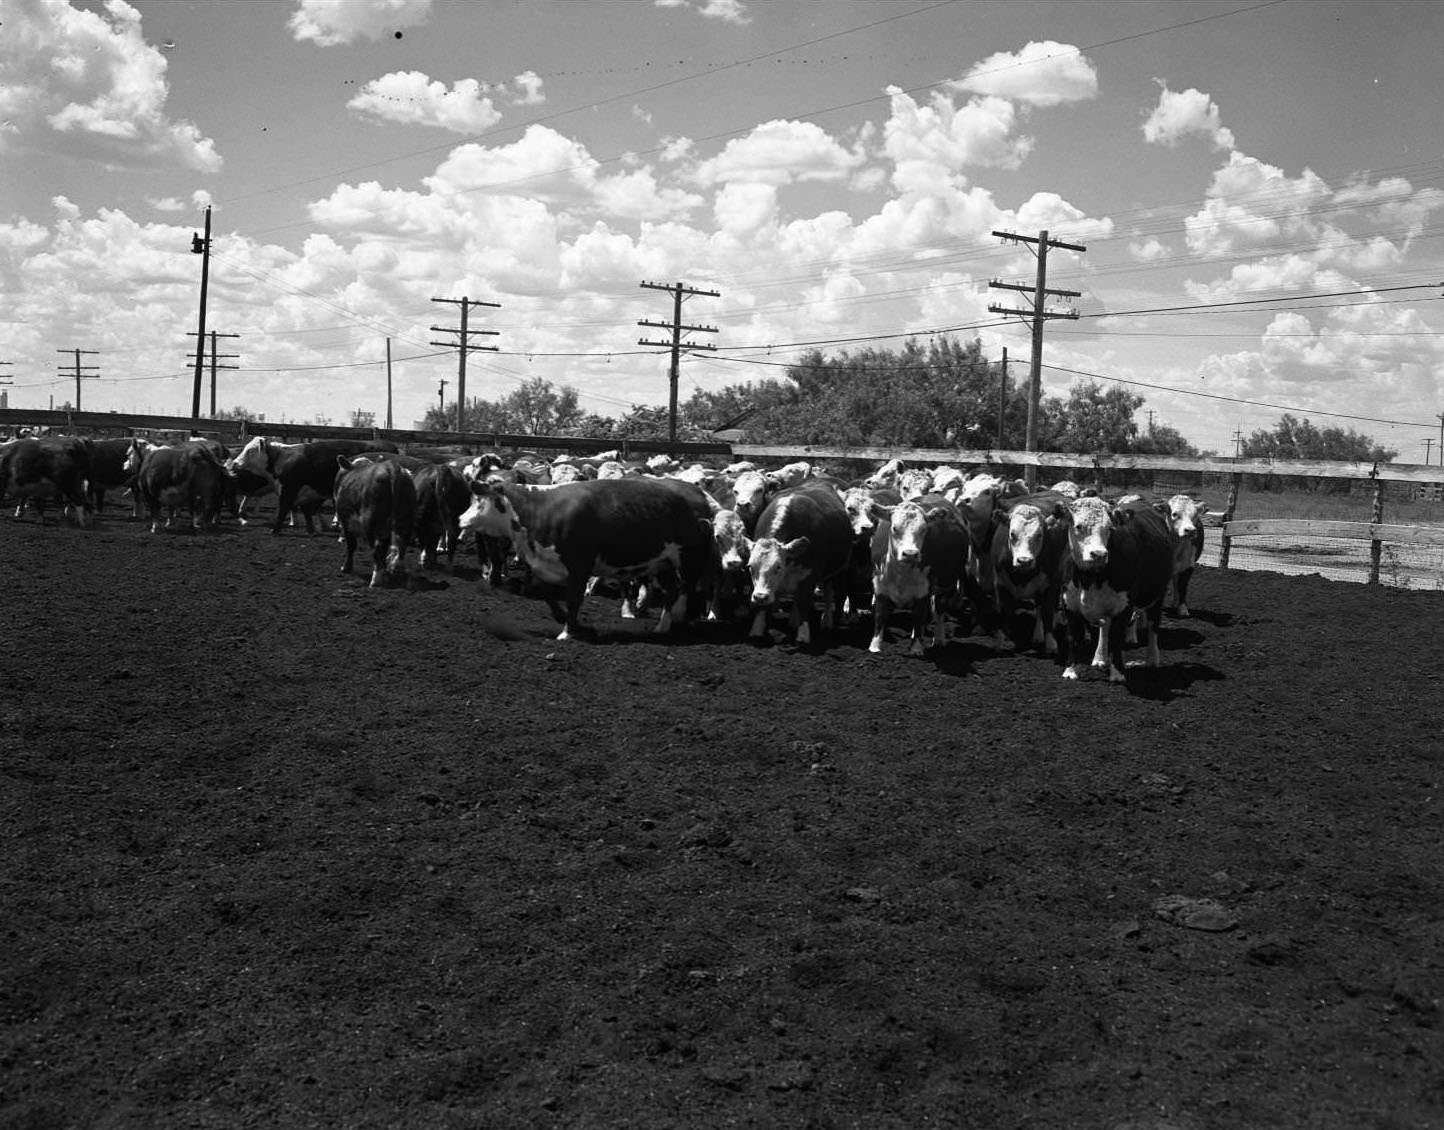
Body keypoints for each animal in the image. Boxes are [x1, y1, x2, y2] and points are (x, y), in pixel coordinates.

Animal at [459, 473, 713, 640]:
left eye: (480, 502)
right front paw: (563, 618)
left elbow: (574, 600)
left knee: (686, 589)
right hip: (662, 564)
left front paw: (568, 633)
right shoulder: (548, 564)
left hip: (688, 558)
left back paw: (678, 619)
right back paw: (662, 626)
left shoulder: (579, 566)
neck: (539, 511)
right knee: (672, 589)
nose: (460, 519)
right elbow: (547, 593)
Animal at [866, 493, 970, 655]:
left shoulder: (923, 590)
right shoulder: (880, 585)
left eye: (924, 529)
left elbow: (919, 616)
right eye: (894, 528)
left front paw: (916, 648)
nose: (910, 554)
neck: (901, 573)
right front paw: (875, 647)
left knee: (939, 609)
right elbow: (880, 615)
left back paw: (938, 639)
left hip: (946, 585)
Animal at [1057, 496, 1178, 681]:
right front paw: (1070, 671)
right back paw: (1099, 658)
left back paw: (1152, 659)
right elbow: (1074, 637)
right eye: (1078, 526)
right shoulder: (1069, 604)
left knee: (1153, 625)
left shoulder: (1124, 606)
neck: (1090, 579)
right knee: (1105, 626)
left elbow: (1116, 638)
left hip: (1158, 593)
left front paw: (1117, 673)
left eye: (1109, 528)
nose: (1099, 554)